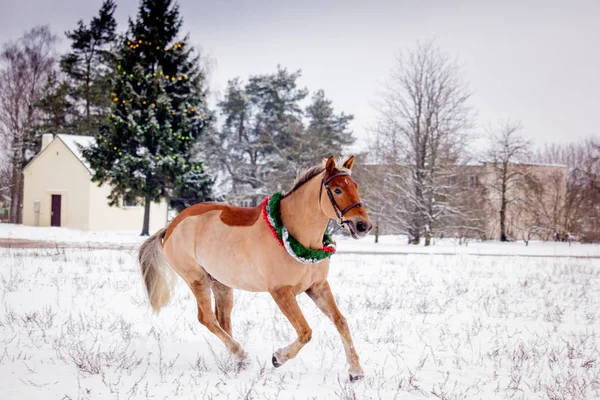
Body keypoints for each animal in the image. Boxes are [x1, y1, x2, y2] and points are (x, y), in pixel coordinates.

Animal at [138, 155, 372, 380]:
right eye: (337, 190)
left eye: (356, 186)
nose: (363, 226)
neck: (294, 235)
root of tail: (171, 226)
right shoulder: (281, 292)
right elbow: (305, 331)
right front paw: (277, 358)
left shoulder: (318, 287)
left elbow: (340, 322)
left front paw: (356, 372)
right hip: (197, 280)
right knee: (207, 319)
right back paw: (241, 354)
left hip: (221, 284)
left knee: (223, 321)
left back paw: (237, 361)